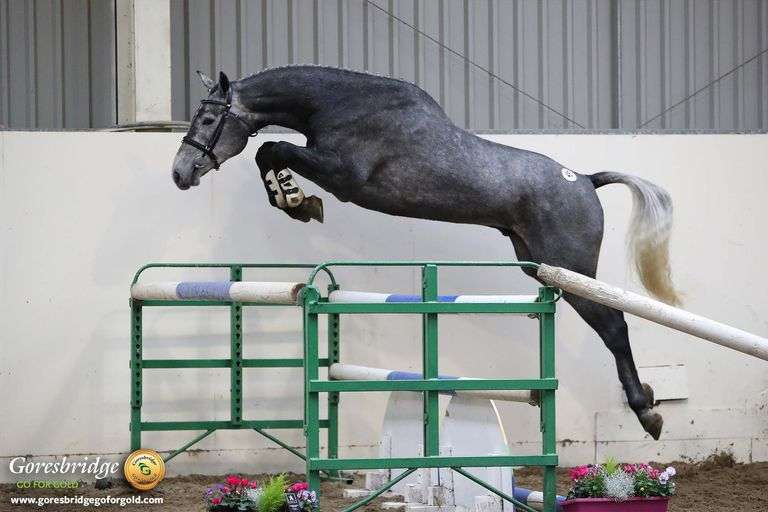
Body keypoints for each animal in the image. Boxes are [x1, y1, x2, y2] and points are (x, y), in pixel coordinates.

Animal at [171, 66, 680, 439]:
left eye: (209, 120)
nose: (181, 172)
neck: (340, 105)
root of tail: (587, 180)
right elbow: (270, 153)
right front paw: (294, 200)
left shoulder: (341, 175)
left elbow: (273, 149)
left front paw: (297, 201)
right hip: (541, 267)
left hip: (571, 269)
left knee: (614, 327)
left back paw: (648, 413)